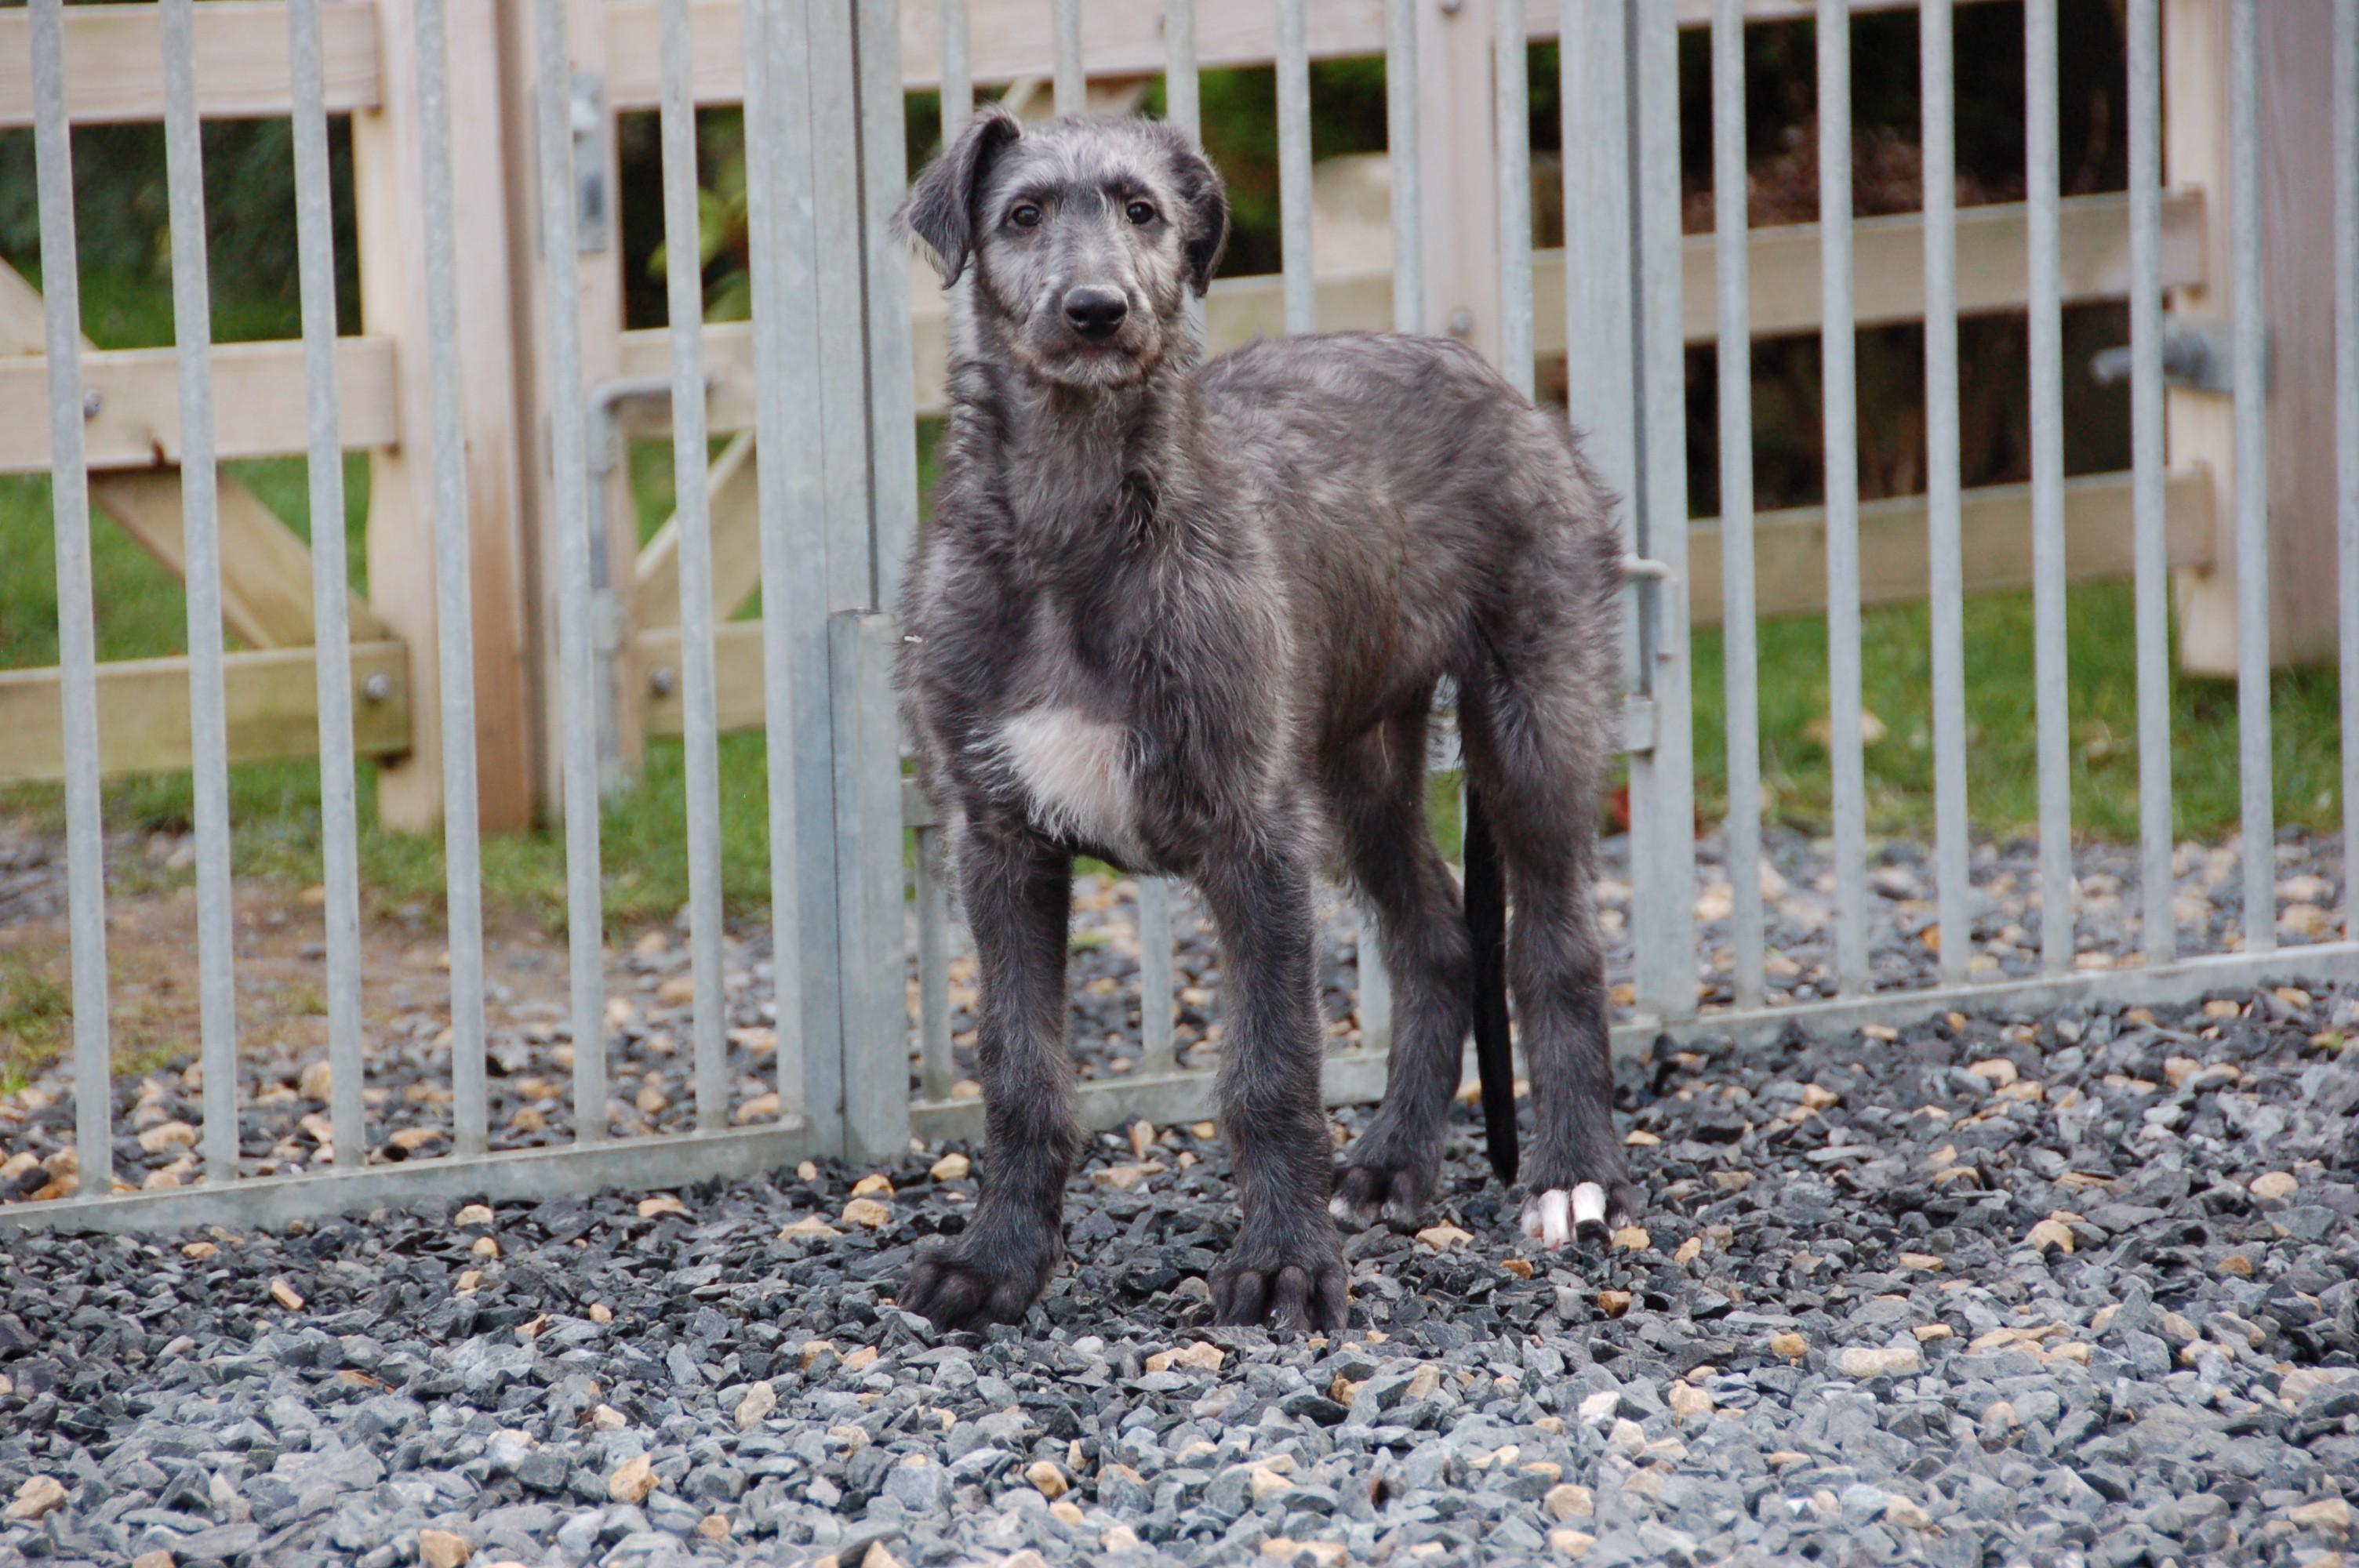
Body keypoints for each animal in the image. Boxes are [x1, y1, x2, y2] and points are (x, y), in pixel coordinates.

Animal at [892, 107, 1632, 1330]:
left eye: (1143, 210)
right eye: (1023, 213)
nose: (1097, 309)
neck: (1078, 530)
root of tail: (1492, 375)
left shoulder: (1253, 835)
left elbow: (1270, 1069)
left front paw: (1283, 1264)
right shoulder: (996, 841)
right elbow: (1018, 1068)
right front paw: (995, 1261)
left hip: (1537, 706)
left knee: (1554, 944)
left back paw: (1573, 1175)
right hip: (1354, 761)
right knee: (1435, 940)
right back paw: (1392, 1161)